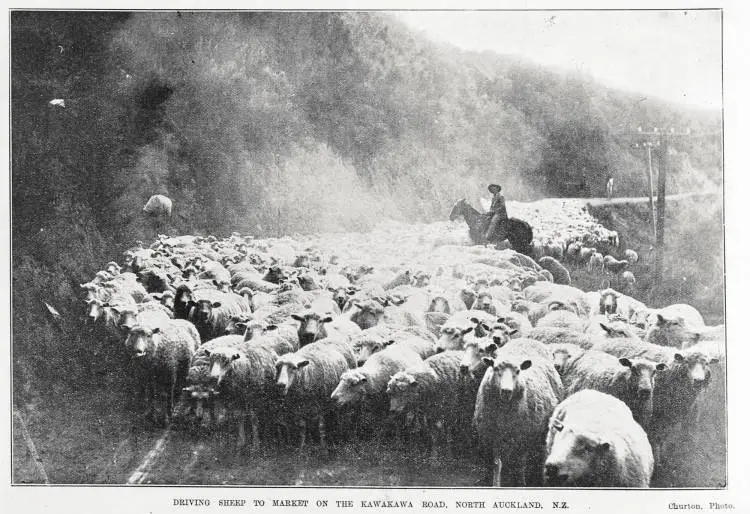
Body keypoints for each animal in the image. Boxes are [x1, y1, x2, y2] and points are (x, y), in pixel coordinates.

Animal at [476, 340, 564, 484]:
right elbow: (497, 463)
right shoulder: (492, 434)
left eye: (518, 371)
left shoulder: (523, 434)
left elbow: (520, 463)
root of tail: (527, 339)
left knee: (541, 454)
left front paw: (521, 483)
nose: (506, 391)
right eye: (495, 368)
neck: (503, 411)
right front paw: (496, 483)